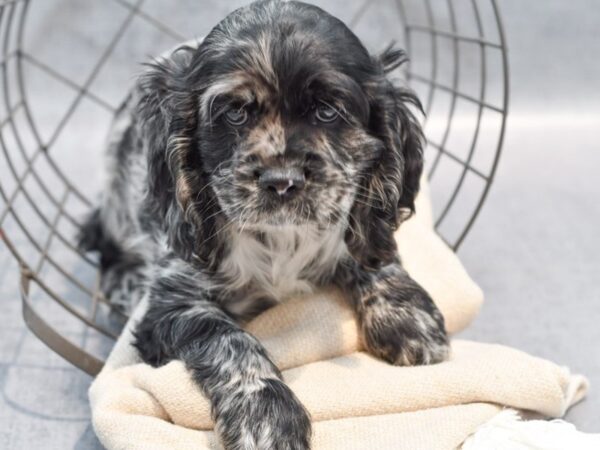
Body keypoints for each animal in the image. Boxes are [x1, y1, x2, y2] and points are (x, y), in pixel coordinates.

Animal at [77, 1, 448, 448]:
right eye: (235, 113)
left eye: (327, 111)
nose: (281, 181)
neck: (281, 239)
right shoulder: (175, 300)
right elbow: (228, 339)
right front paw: (267, 417)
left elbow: (370, 251)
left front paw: (408, 317)